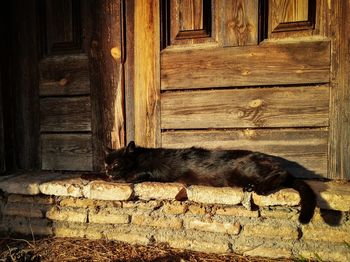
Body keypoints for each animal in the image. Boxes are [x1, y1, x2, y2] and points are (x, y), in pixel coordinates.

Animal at [105, 141, 316, 223]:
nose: (107, 172)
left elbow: (135, 175)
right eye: (106, 163)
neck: (140, 156)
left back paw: (261, 188)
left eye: (116, 163)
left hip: (249, 170)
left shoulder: (152, 171)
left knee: (281, 174)